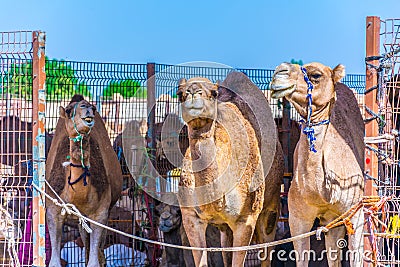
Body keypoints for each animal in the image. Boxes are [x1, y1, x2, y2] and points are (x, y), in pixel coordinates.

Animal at [46, 95, 122, 267]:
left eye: (92, 108)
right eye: (68, 110)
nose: (87, 107)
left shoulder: (101, 212)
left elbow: (94, 261)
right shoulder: (53, 210)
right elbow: (54, 262)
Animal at [177, 72, 282, 266]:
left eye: (214, 93)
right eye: (179, 93)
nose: (193, 91)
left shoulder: (246, 218)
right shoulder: (191, 217)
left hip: (270, 207)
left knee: (267, 245)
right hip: (225, 227)